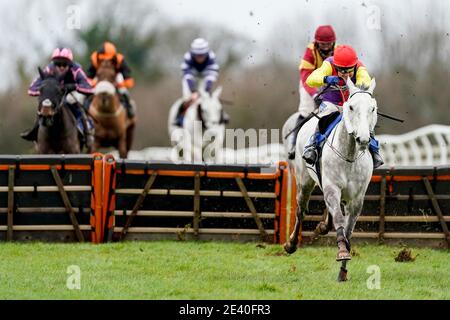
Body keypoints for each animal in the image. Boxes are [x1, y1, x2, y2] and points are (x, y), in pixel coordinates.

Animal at [284, 79, 376, 282]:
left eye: (373, 108)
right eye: (351, 107)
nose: (363, 139)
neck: (349, 155)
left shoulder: (357, 199)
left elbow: (348, 230)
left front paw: (343, 270)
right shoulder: (332, 187)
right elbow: (340, 220)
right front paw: (342, 251)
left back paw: (322, 227)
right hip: (304, 182)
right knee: (301, 211)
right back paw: (291, 244)